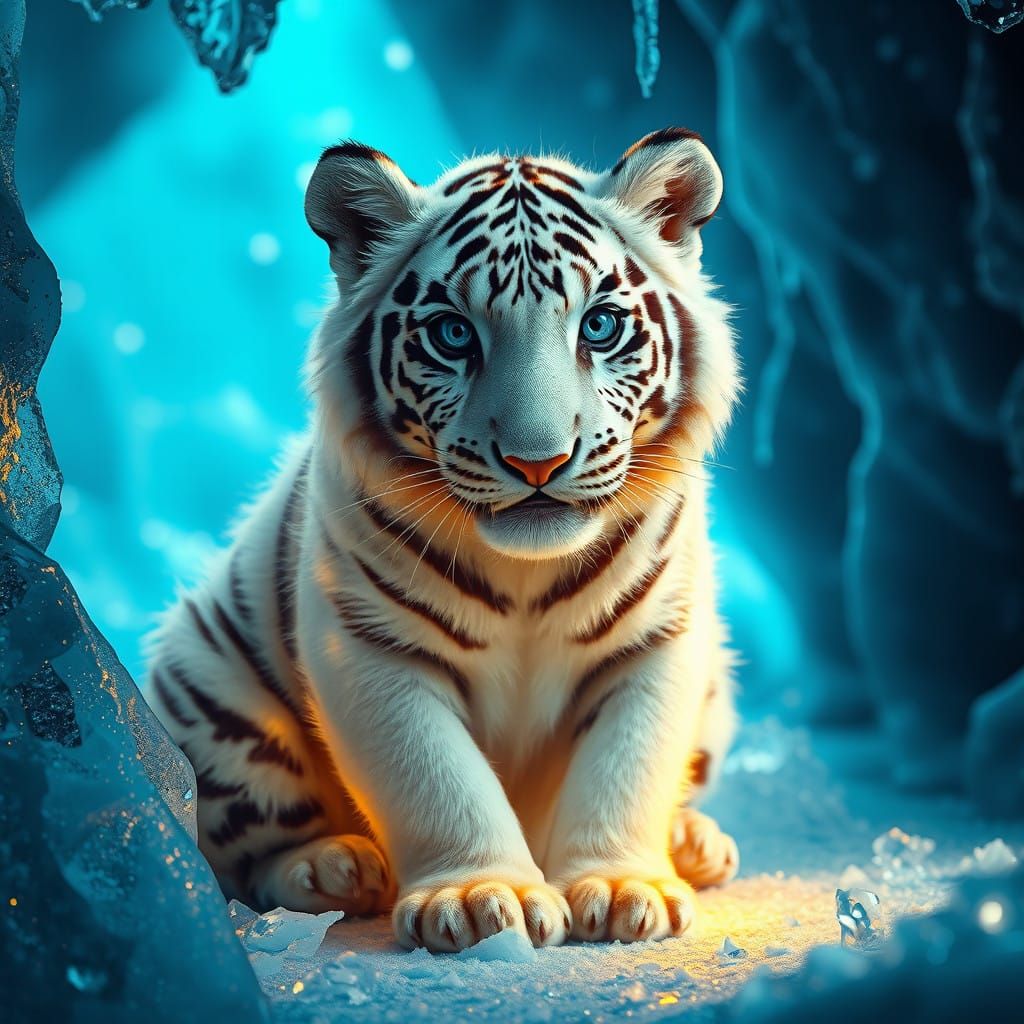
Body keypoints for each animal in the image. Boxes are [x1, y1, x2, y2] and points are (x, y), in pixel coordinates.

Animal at [145, 127, 741, 953]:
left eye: (599, 325)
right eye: (454, 335)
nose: (537, 461)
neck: (527, 574)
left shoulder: (658, 641)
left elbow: (628, 765)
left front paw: (624, 887)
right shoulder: (371, 647)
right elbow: (434, 775)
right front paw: (483, 895)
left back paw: (695, 843)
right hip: (212, 694)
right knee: (244, 856)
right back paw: (332, 869)